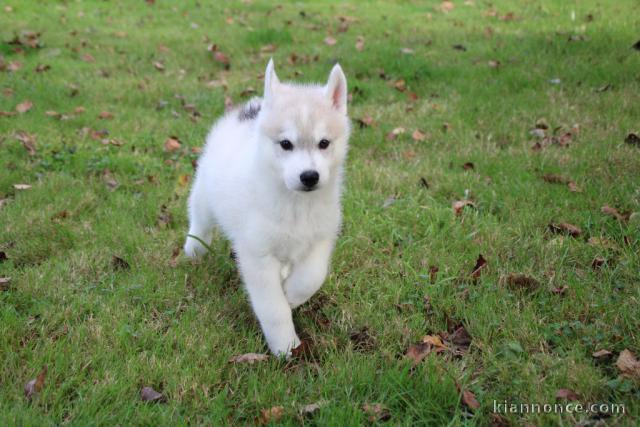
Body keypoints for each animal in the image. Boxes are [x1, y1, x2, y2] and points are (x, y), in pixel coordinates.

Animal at [182, 58, 352, 356]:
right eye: (286, 144)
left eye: (324, 143)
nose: (310, 176)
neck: (296, 205)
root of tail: (248, 111)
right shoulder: (257, 256)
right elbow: (273, 308)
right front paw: (286, 346)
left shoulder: (321, 239)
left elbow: (312, 276)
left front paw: (292, 295)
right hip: (204, 195)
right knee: (200, 221)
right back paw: (194, 249)